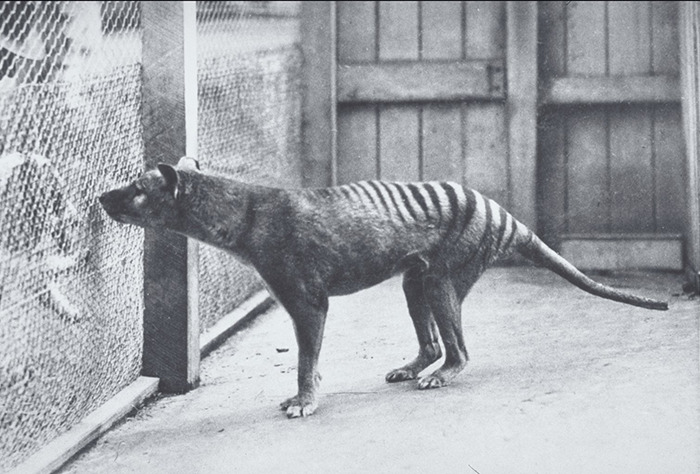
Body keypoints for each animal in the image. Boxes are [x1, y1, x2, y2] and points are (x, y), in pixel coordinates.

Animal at [98, 156, 668, 418]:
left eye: (137, 189)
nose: (101, 197)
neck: (246, 213)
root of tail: (504, 216)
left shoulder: (307, 299)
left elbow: (305, 356)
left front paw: (304, 399)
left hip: (443, 278)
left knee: (458, 349)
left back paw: (440, 376)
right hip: (416, 280)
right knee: (433, 341)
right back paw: (414, 366)